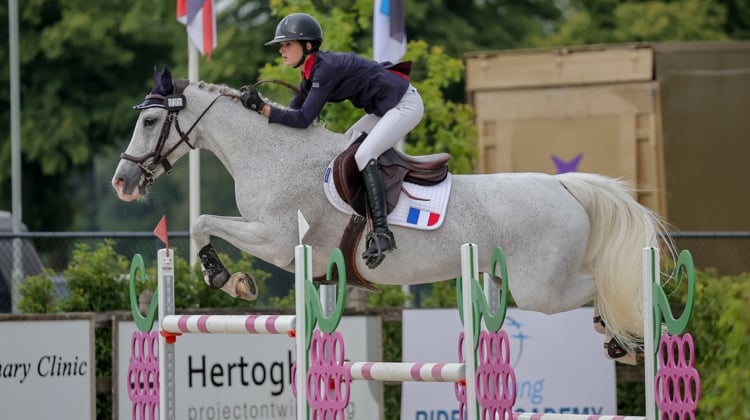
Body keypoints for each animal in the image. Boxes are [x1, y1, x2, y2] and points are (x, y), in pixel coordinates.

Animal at [110, 67, 668, 362]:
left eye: (152, 120)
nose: (121, 182)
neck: (270, 152)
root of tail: (564, 185)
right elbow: (202, 223)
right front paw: (227, 277)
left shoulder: (275, 239)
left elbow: (204, 222)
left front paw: (229, 279)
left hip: (540, 289)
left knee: (602, 285)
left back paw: (624, 334)